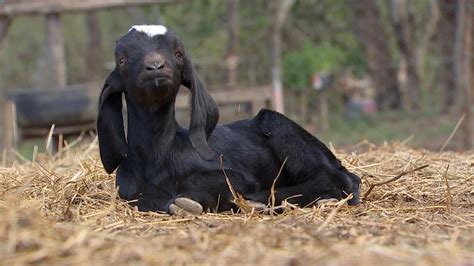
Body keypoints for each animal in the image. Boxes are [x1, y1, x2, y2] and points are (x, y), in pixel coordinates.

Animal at [98, 25, 362, 214]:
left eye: (178, 54)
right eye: (122, 60)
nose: (155, 66)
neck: (160, 157)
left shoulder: (235, 176)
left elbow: (203, 185)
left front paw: (187, 203)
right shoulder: (129, 191)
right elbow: (145, 198)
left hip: (278, 124)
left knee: (339, 179)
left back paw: (262, 202)